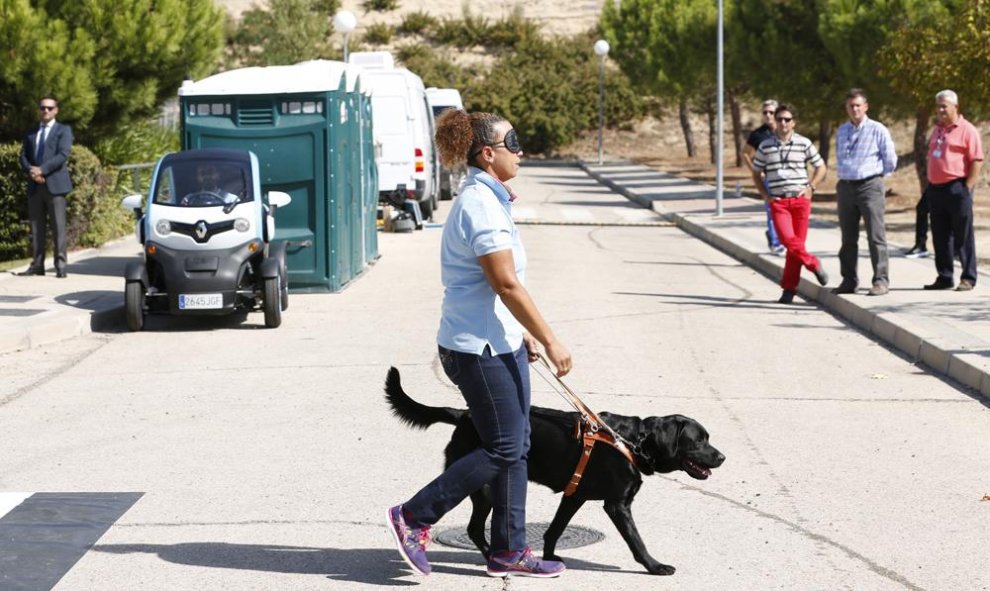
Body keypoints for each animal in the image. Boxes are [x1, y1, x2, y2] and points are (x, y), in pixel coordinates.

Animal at [388, 368, 728, 576]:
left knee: (474, 527)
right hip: (483, 485)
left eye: (707, 438)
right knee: (470, 524)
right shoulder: (618, 505)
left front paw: (550, 557)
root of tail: (464, 415)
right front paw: (654, 566)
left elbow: (554, 529)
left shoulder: (574, 495)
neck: (633, 442)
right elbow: (636, 540)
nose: (723, 457)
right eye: (699, 440)